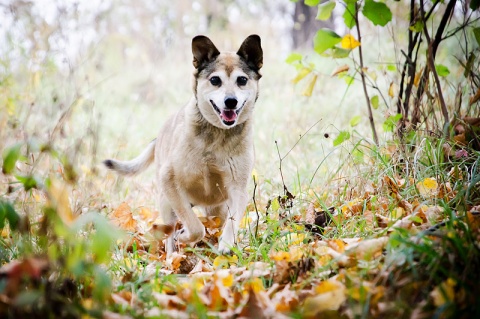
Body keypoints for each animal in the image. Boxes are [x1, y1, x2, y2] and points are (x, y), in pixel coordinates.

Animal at [103, 35, 264, 258]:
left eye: (242, 80)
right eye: (215, 80)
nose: (230, 101)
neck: (217, 134)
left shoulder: (237, 188)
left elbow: (232, 221)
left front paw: (226, 244)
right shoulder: (169, 181)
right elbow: (195, 227)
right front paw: (185, 236)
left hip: (217, 209)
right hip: (166, 202)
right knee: (171, 231)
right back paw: (172, 256)